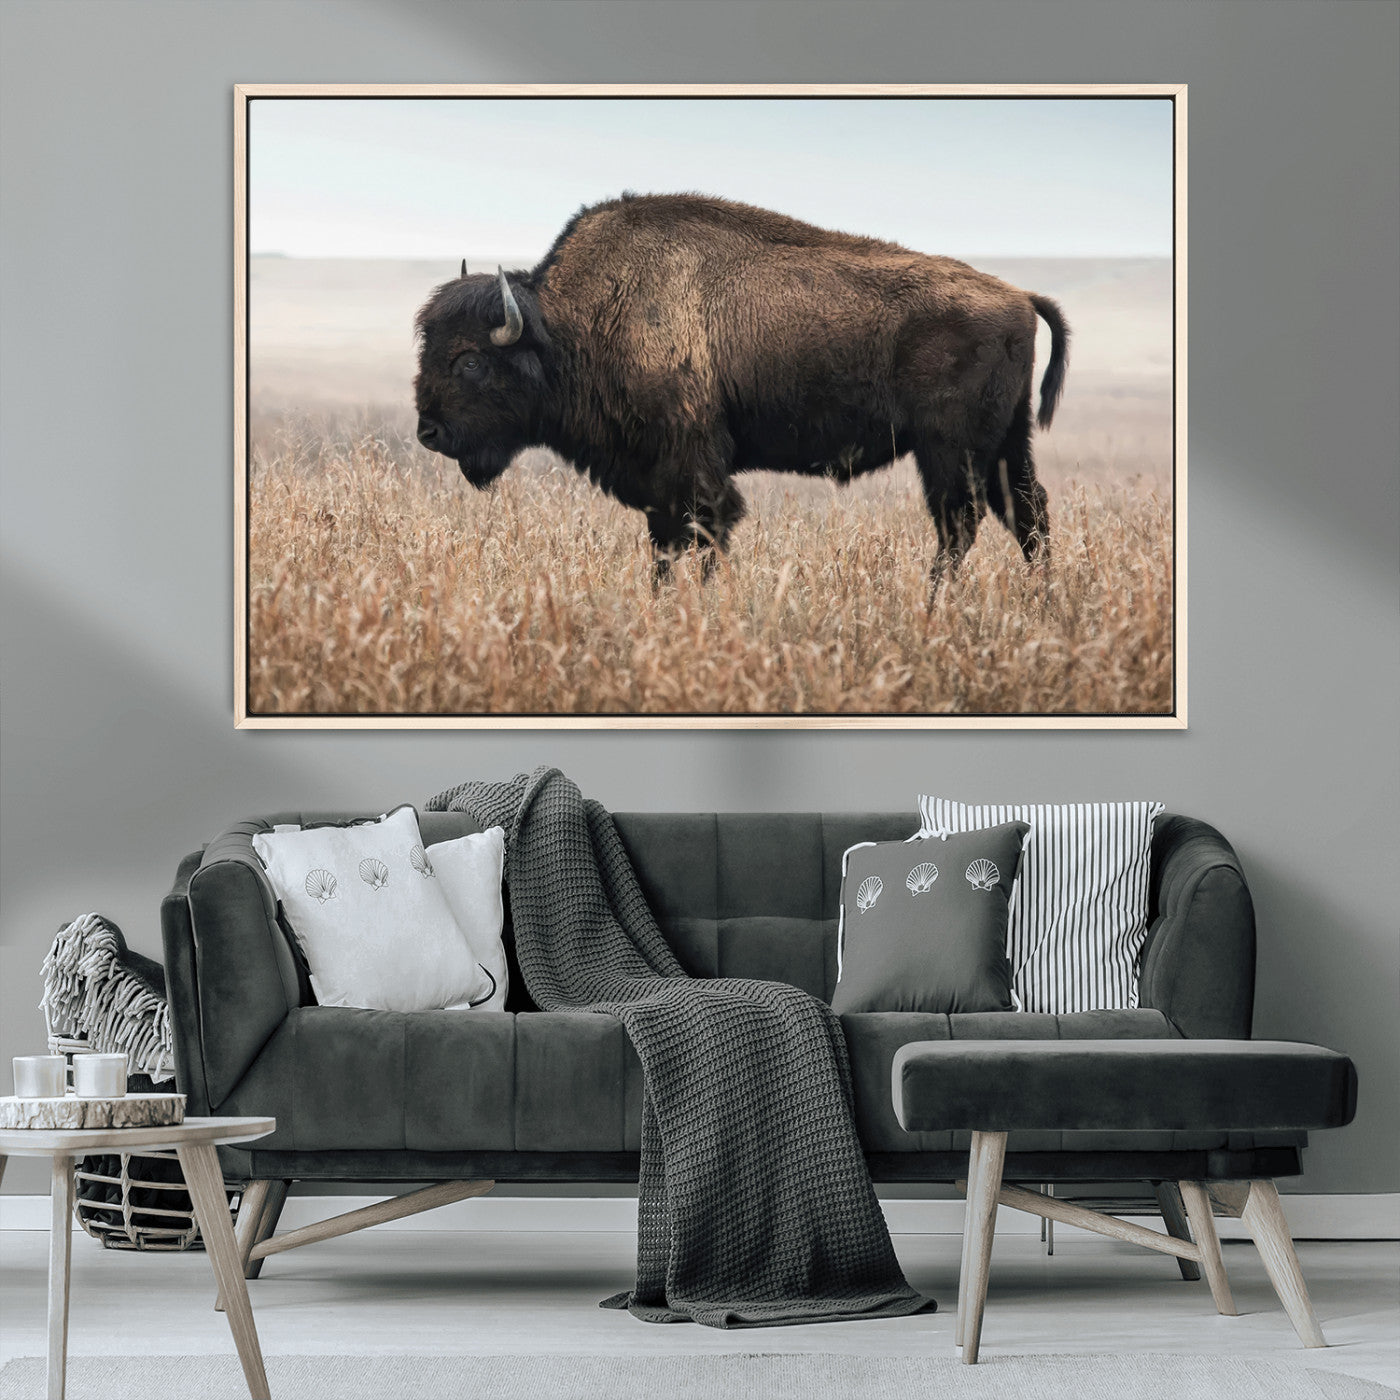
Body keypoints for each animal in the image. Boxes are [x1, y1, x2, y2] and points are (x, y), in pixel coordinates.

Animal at [414, 193, 1068, 583]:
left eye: (469, 361)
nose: (428, 432)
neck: (572, 325)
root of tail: (1018, 296)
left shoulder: (693, 469)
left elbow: (704, 534)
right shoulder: (659, 483)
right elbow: (666, 545)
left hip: (949, 451)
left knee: (961, 524)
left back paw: (935, 605)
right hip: (1005, 445)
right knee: (1027, 513)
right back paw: (1040, 603)